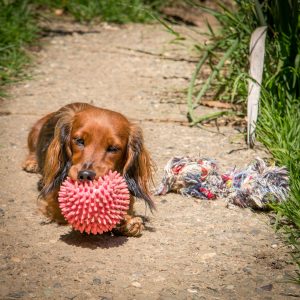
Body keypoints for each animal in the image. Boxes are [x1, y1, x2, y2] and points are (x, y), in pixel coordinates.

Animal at [22, 103, 155, 237]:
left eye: (113, 148)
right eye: (79, 141)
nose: (85, 175)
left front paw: (127, 221)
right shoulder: (52, 198)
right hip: (35, 132)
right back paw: (32, 163)